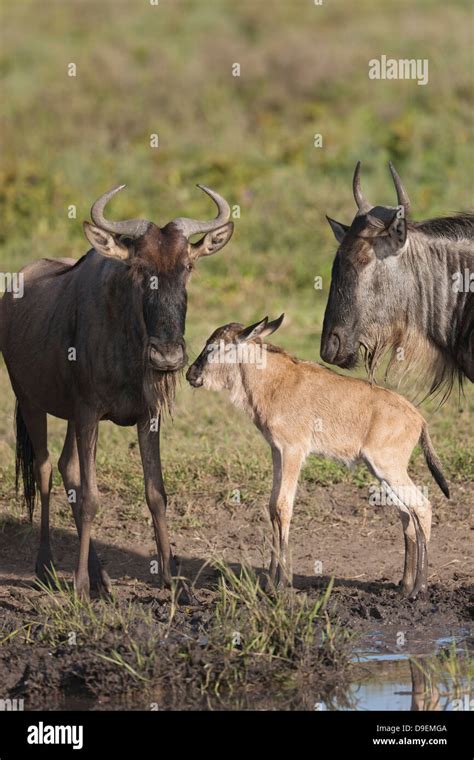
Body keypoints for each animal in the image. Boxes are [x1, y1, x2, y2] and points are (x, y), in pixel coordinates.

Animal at [185, 314, 448, 600]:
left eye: (213, 347)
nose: (191, 374)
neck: (273, 382)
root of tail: (418, 419)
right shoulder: (277, 451)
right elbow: (272, 506)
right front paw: (270, 583)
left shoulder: (293, 451)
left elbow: (283, 507)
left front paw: (281, 584)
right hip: (381, 471)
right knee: (406, 515)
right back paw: (405, 585)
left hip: (388, 468)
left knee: (421, 507)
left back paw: (419, 588)